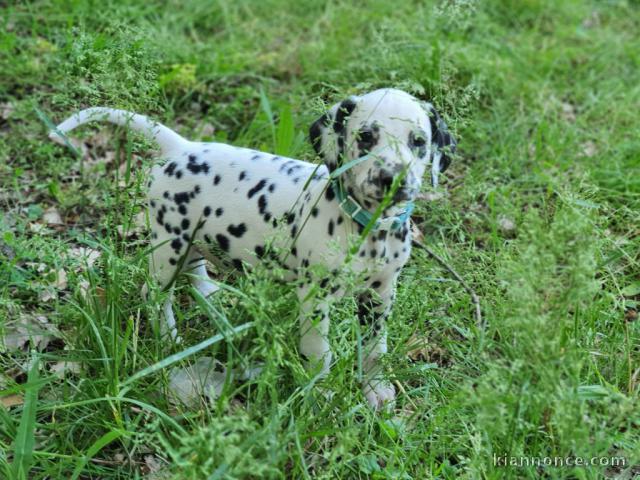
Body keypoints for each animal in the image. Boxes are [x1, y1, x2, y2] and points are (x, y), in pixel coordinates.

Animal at [50, 88, 456, 410]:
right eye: (366, 136)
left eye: (419, 141)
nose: (393, 178)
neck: (367, 228)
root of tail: (183, 147)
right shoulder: (314, 299)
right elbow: (319, 353)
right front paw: (320, 393)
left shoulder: (381, 294)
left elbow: (375, 349)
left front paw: (375, 388)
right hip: (168, 244)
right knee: (155, 295)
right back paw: (169, 339)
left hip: (194, 237)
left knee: (197, 271)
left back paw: (212, 297)